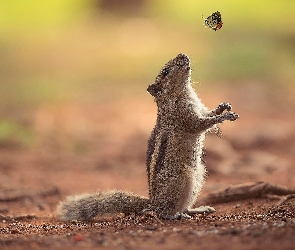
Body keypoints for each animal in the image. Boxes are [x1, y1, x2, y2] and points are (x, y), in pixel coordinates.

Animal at [56, 52, 239, 221]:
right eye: (165, 71)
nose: (183, 55)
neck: (181, 93)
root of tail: (153, 202)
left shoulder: (200, 108)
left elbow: (209, 114)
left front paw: (223, 107)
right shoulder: (183, 116)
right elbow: (200, 124)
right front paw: (225, 116)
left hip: (199, 174)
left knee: (183, 206)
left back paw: (197, 209)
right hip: (182, 178)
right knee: (163, 211)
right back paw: (175, 215)